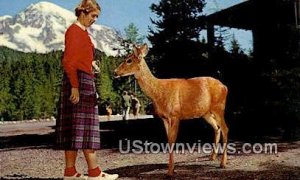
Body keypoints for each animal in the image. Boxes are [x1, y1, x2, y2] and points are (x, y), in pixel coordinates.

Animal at [113, 43, 229, 176]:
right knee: (217, 128)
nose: (115, 72)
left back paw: (223, 163)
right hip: (205, 113)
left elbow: (172, 140)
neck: (158, 91)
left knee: (225, 128)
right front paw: (171, 168)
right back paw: (212, 157)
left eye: (129, 60)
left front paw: (170, 171)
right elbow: (168, 140)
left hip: (219, 107)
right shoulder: (164, 118)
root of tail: (225, 87)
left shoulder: (175, 114)